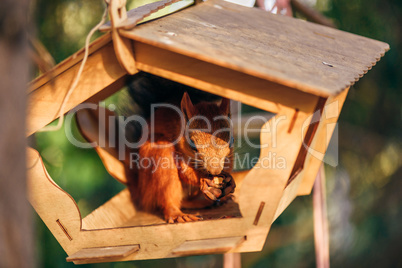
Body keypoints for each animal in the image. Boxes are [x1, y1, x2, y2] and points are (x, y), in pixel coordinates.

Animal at [123, 72, 236, 223]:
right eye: (192, 144)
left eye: (231, 141)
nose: (215, 171)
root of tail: (141, 191)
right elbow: (185, 172)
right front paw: (203, 178)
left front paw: (230, 180)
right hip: (160, 160)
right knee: (169, 199)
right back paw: (178, 214)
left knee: (185, 202)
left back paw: (208, 202)